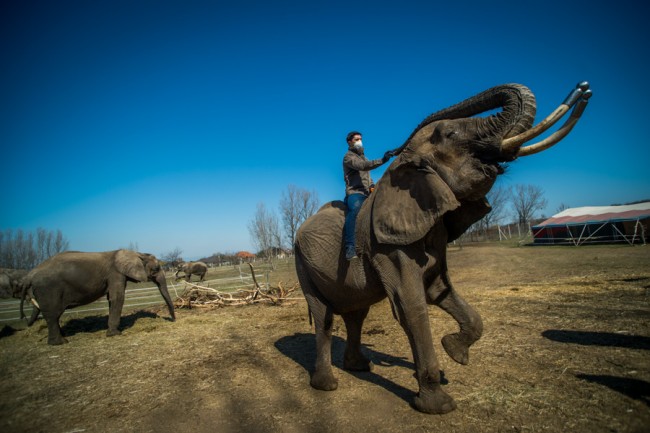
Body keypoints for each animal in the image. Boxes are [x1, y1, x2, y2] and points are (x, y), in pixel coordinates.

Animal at [19, 250, 175, 344]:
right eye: (156, 269)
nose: (172, 320)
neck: (137, 253)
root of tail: (29, 276)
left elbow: (112, 299)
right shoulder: (115, 274)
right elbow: (117, 298)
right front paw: (115, 334)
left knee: (53, 315)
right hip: (49, 290)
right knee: (53, 314)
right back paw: (61, 342)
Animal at [296, 82, 588, 416]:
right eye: (448, 134)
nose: (584, 89)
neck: (402, 168)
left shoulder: (432, 232)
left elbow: (438, 290)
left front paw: (455, 352)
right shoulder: (388, 247)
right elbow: (411, 307)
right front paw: (439, 404)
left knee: (357, 312)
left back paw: (359, 367)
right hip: (302, 265)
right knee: (325, 317)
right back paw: (327, 385)